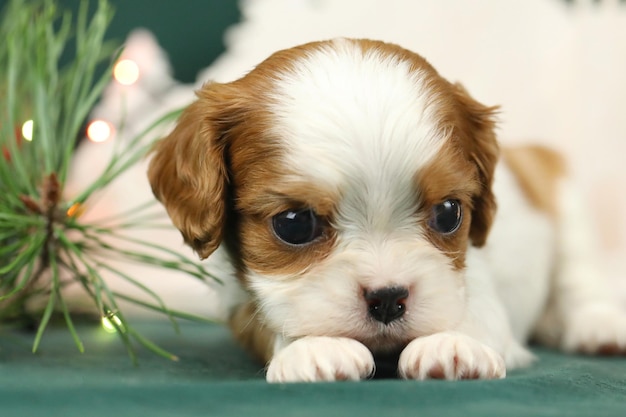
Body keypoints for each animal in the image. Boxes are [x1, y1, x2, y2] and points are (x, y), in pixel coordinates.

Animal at [147, 38, 624, 380]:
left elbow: (478, 311)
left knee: (579, 277)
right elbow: (267, 324)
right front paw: (313, 347)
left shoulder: (469, 276)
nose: (388, 298)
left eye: (449, 213)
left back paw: (598, 325)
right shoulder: (237, 300)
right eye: (294, 224)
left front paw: (453, 344)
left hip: (560, 193)